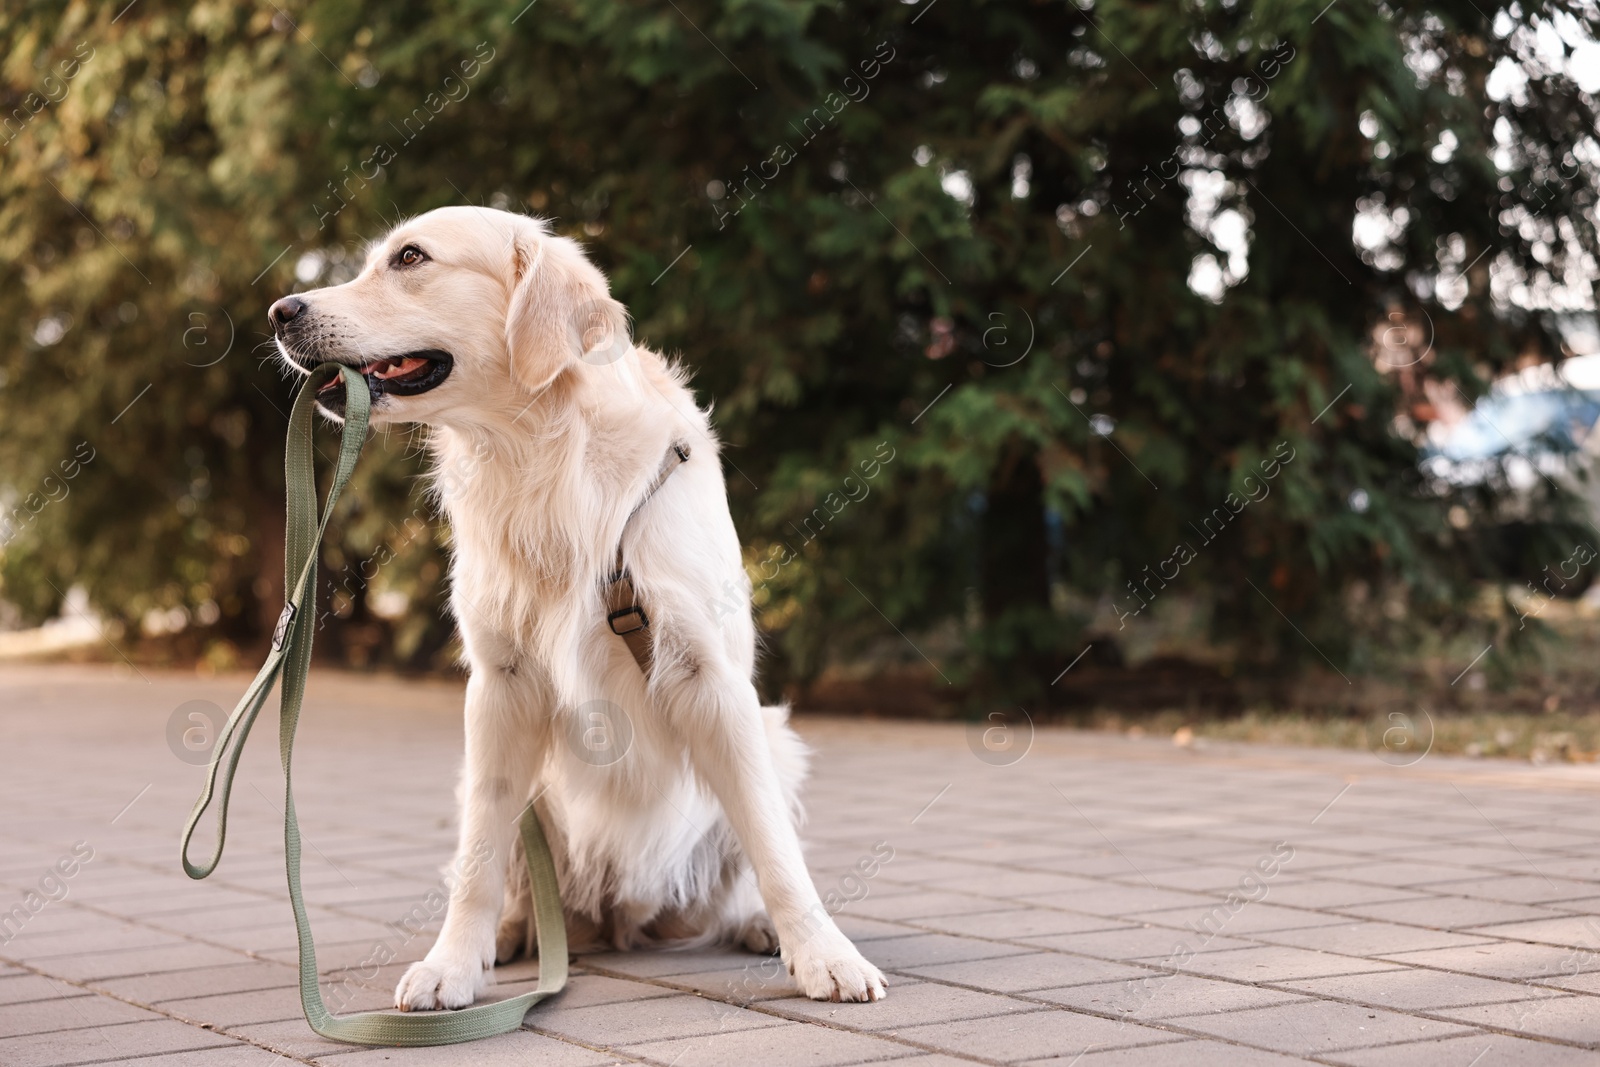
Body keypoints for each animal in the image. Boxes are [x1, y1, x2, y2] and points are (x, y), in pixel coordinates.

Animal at [272, 207, 889, 1011]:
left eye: (409, 258)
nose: (280, 312)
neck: (542, 457)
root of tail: (620, 915)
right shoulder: (499, 686)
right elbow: (478, 853)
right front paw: (452, 963)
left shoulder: (712, 677)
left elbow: (774, 844)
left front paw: (824, 955)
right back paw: (512, 934)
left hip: (775, 738)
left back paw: (756, 922)